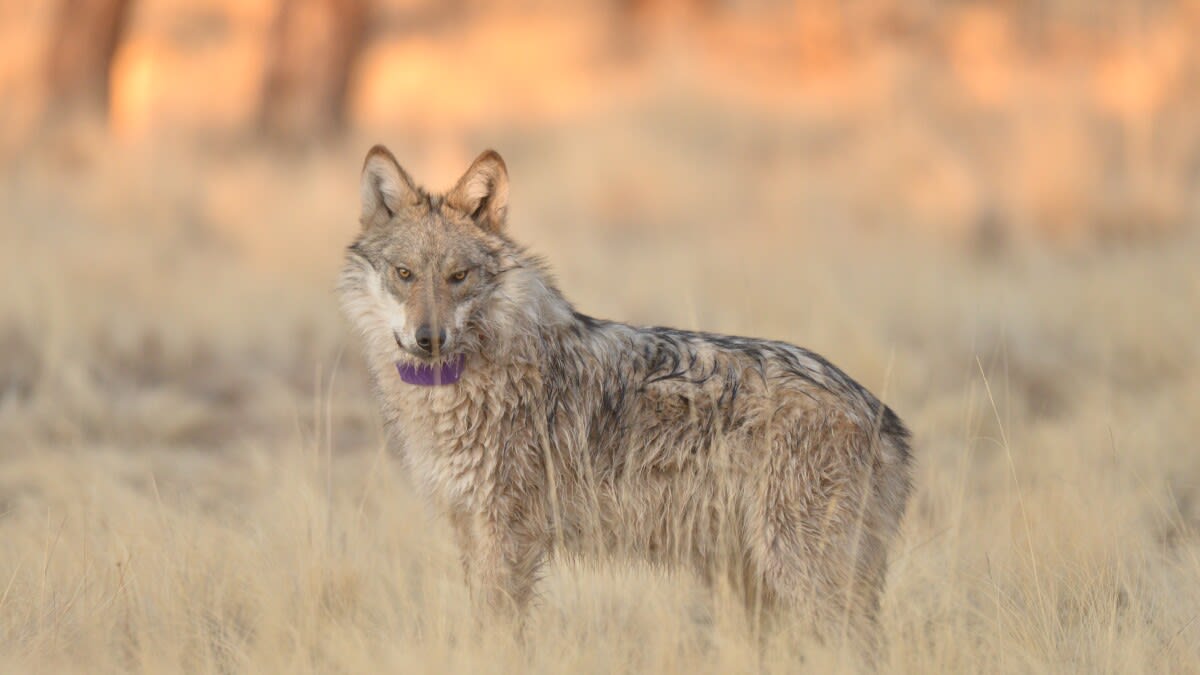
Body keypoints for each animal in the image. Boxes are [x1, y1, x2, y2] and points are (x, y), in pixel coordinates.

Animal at [339, 145, 913, 659]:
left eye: (458, 276)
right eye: (405, 274)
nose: (427, 339)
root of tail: (886, 420)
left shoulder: (507, 535)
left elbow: (498, 636)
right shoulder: (469, 528)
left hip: (801, 576)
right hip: (748, 579)